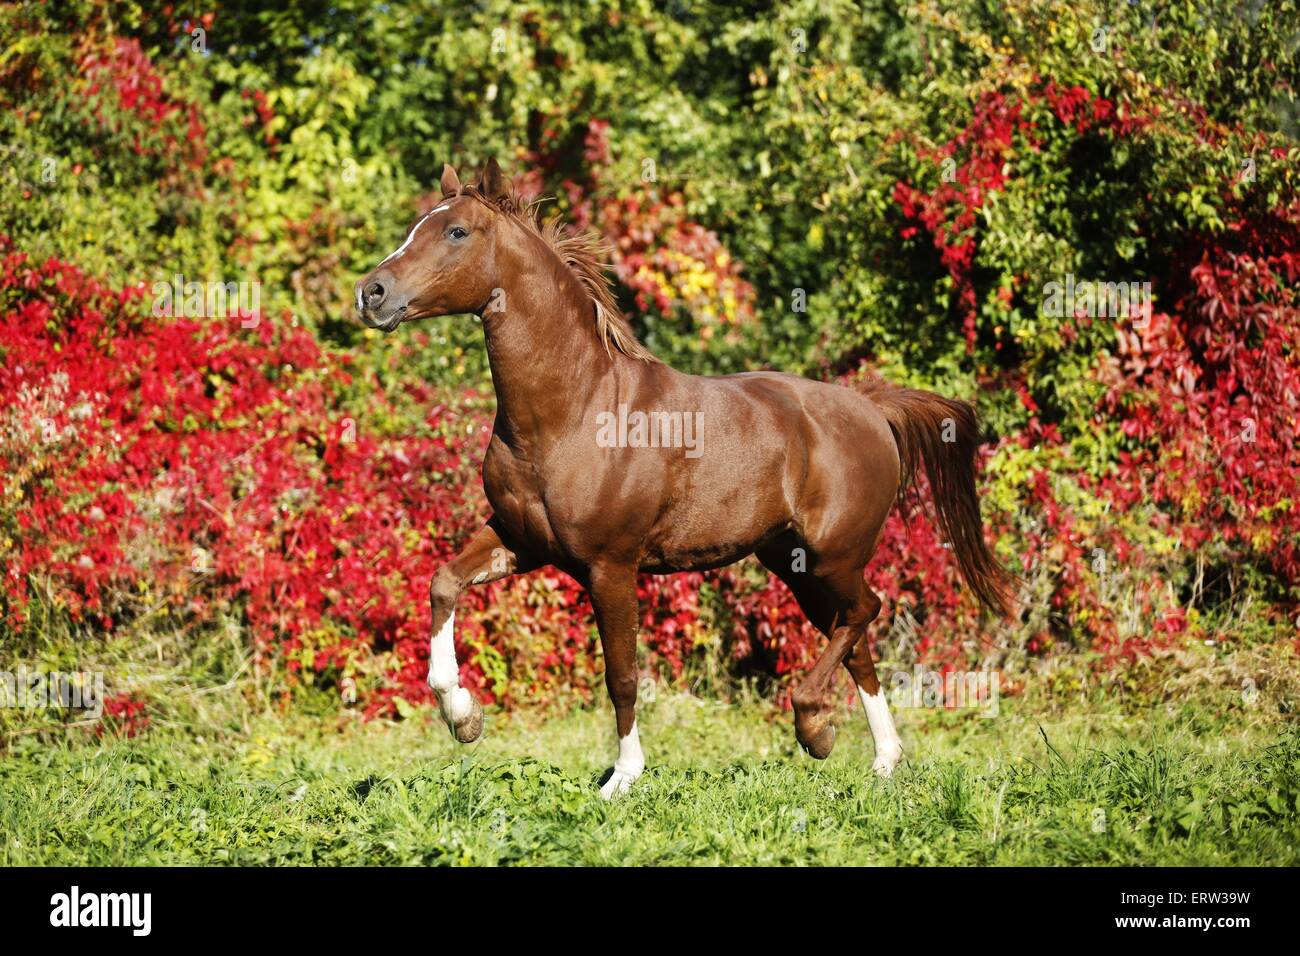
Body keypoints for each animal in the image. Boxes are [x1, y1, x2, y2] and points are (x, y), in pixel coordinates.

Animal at [355, 159, 1014, 799]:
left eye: (456, 231)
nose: (371, 292)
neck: (574, 411)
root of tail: (873, 409)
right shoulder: (521, 542)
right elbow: (443, 583)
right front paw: (463, 717)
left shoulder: (610, 566)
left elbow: (622, 674)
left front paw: (623, 778)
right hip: (793, 562)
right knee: (857, 640)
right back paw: (880, 761)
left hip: (833, 556)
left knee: (864, 614)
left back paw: (815, 728)